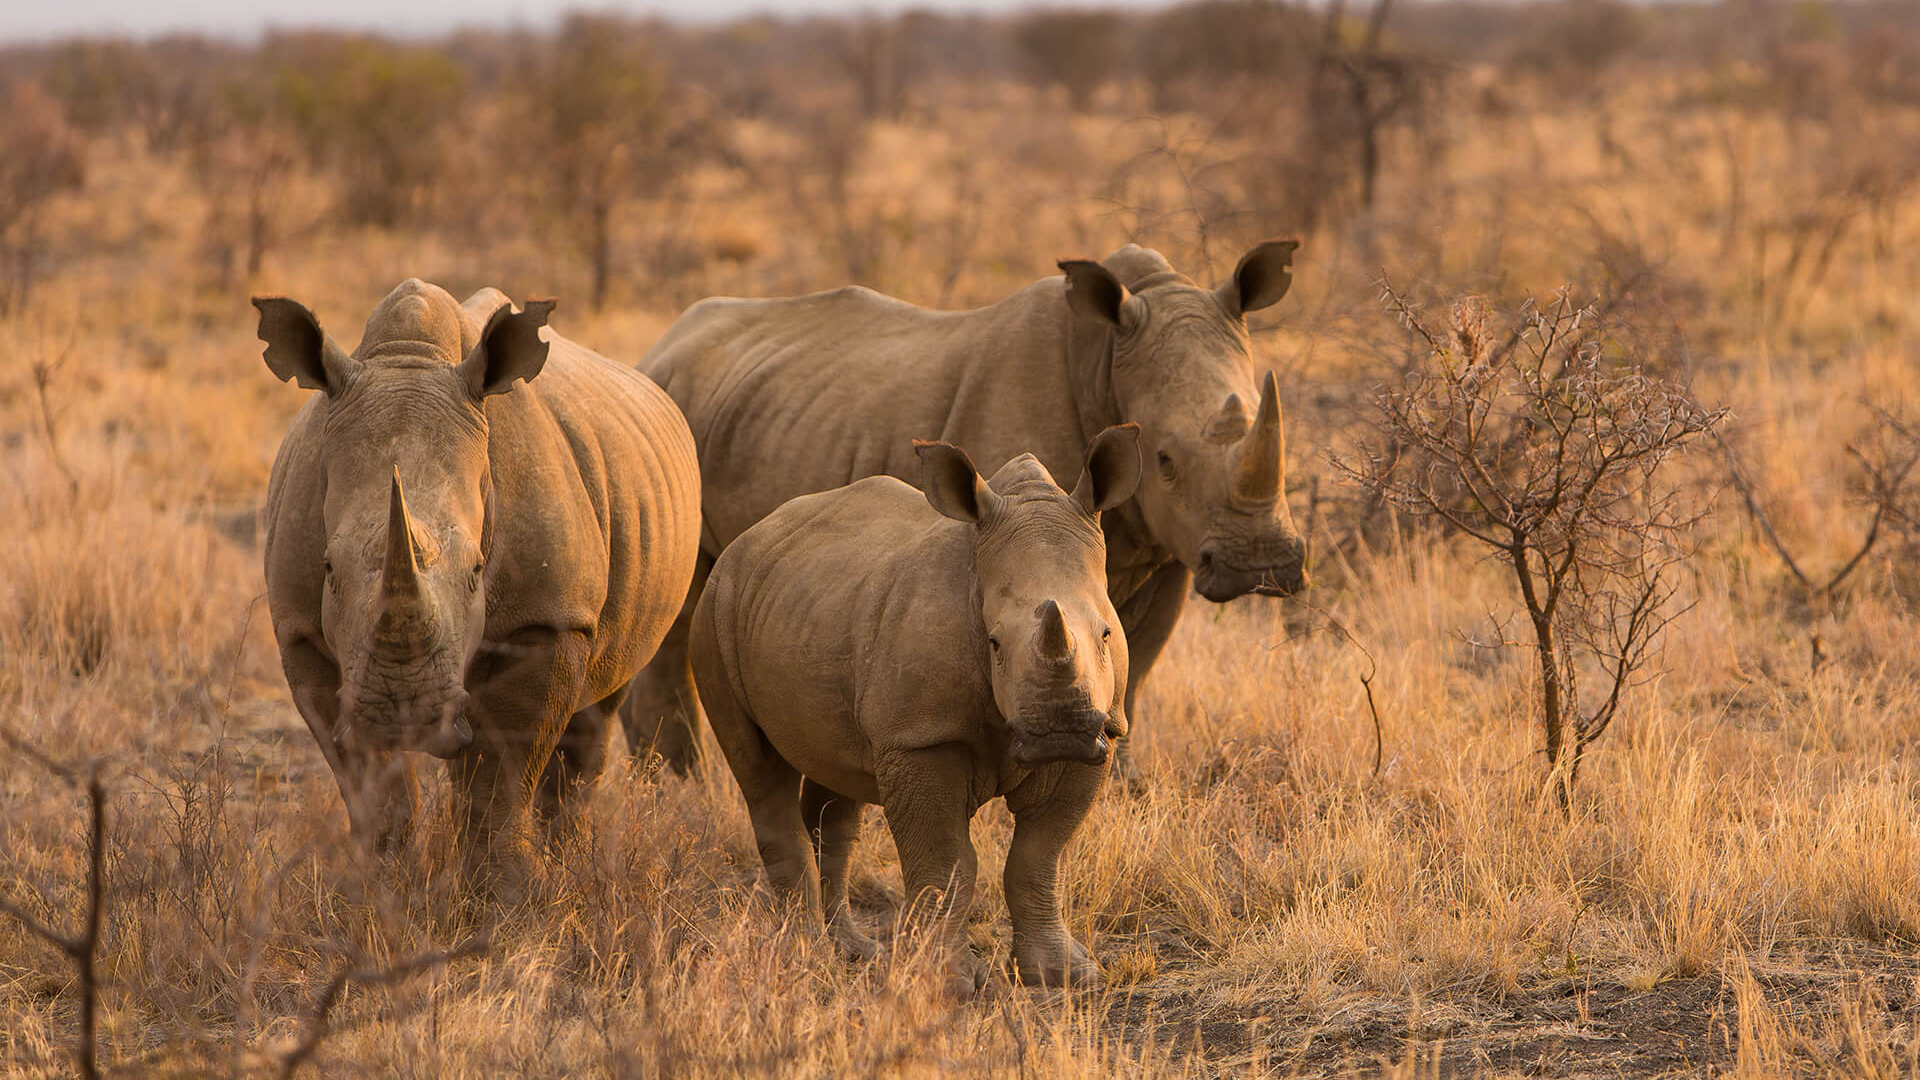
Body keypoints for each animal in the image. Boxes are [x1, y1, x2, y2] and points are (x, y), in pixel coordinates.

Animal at [258, 280, 701, 885]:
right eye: (328, 568)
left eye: (476, 572)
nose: (404, 714)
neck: (413, 359)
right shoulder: (302, 630)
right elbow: (371, 786)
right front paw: (379, 887)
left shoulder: (549, 618)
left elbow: (502, 771)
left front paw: (502, 891)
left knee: (599, 707)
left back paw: (571, 858)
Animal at [626, 241, 1307, 774]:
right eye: (1164, 459)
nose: (1263, 565)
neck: (1106, 362)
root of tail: (661, 344)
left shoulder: (1168, 549)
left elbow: (1133, 667)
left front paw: (1121, 782)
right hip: (671, 420)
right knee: (680, 599)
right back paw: (676, 776)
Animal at [691, 425, 1143, 990]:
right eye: (993, 643)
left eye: (1106, 634)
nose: (1060, 731)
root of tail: (747, 539)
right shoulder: (920, 737)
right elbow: (946, 862)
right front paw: (948, 981)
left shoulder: (1101, 733)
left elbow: (1040, 856)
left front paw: (1065, 975)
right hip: (716, 607)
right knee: (759, 770)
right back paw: (805, 956)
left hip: (808, 605)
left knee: (837, 790)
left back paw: (853, 951)